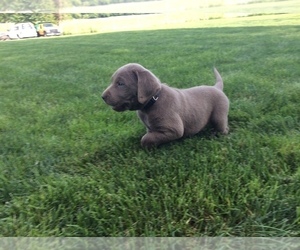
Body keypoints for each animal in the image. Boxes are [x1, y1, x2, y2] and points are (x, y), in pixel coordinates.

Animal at [101, 63, 230, 147]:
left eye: (120, 84)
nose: (102, 96)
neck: (153, 101)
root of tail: (216, 87)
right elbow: (150, 133)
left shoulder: (174, 129)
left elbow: (145, 138)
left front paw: (149, 146)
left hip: (219, 115)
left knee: (224, 128)